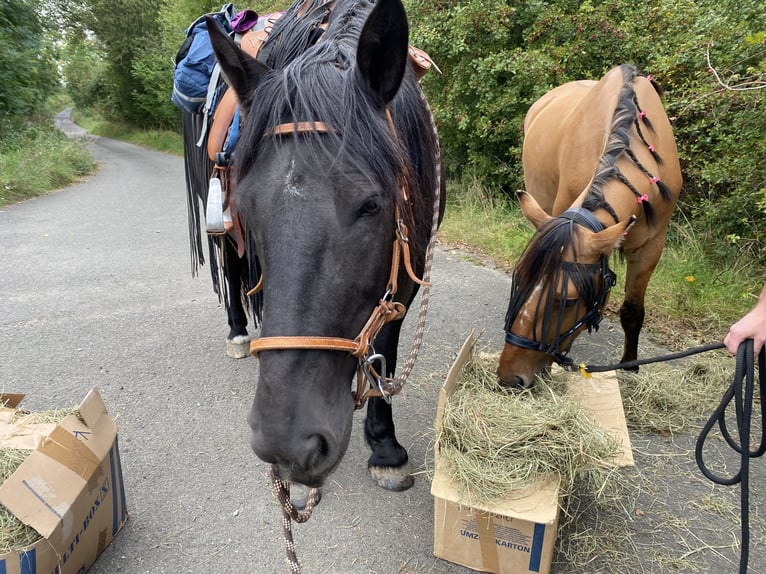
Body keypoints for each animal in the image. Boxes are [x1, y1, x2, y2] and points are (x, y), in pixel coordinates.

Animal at [206, 0, 444, 491]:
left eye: (372, 204)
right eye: (249, 205)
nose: (286, 444)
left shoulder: (406, 273)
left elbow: (384, 349)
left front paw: (385, 446)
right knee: (233, 266)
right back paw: (238, 330)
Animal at [498, 64, 682, 389]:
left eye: (568, 301)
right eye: (518, 278)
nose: (510, 377)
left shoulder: (651, 247)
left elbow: (632, 311)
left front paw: (630, 366)